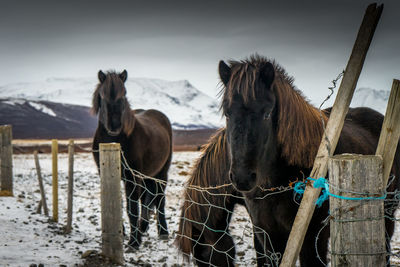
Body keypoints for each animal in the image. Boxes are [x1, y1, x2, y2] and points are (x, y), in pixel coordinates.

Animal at [91, 70, 173, 250]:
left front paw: (134, 242)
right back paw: (143, 228)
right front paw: (120, 232)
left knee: (159, 199)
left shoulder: (132, 177)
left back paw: (162, 231)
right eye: (102, 95)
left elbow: (132, 209)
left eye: (124, 95)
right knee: (148, 199)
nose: (114, 126)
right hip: (147, 175)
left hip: (161, 173)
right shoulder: (105, 173)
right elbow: (116, 202)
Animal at [217, 55, 400, 266]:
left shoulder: (312, 238)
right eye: (227, 113)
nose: (242, 177)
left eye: (267, 113)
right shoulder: (267, 234)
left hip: (387, 215)